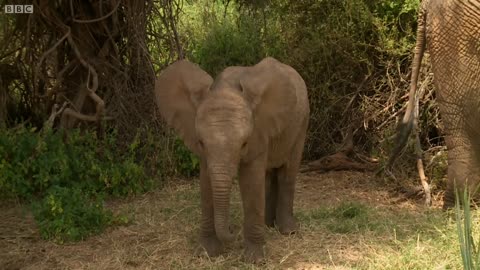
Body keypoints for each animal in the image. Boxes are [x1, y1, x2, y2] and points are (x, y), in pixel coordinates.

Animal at [156, 56, 310, 262]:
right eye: (201, 142)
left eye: (244, 143)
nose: (232, 230)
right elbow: (206, 185)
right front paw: (206, 253)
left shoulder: (258, 132)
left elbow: (251, 182)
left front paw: (255, 260)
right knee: (269, 176)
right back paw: (268, 225)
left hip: (302, 123)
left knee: (287, 173)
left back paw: (288, 231)